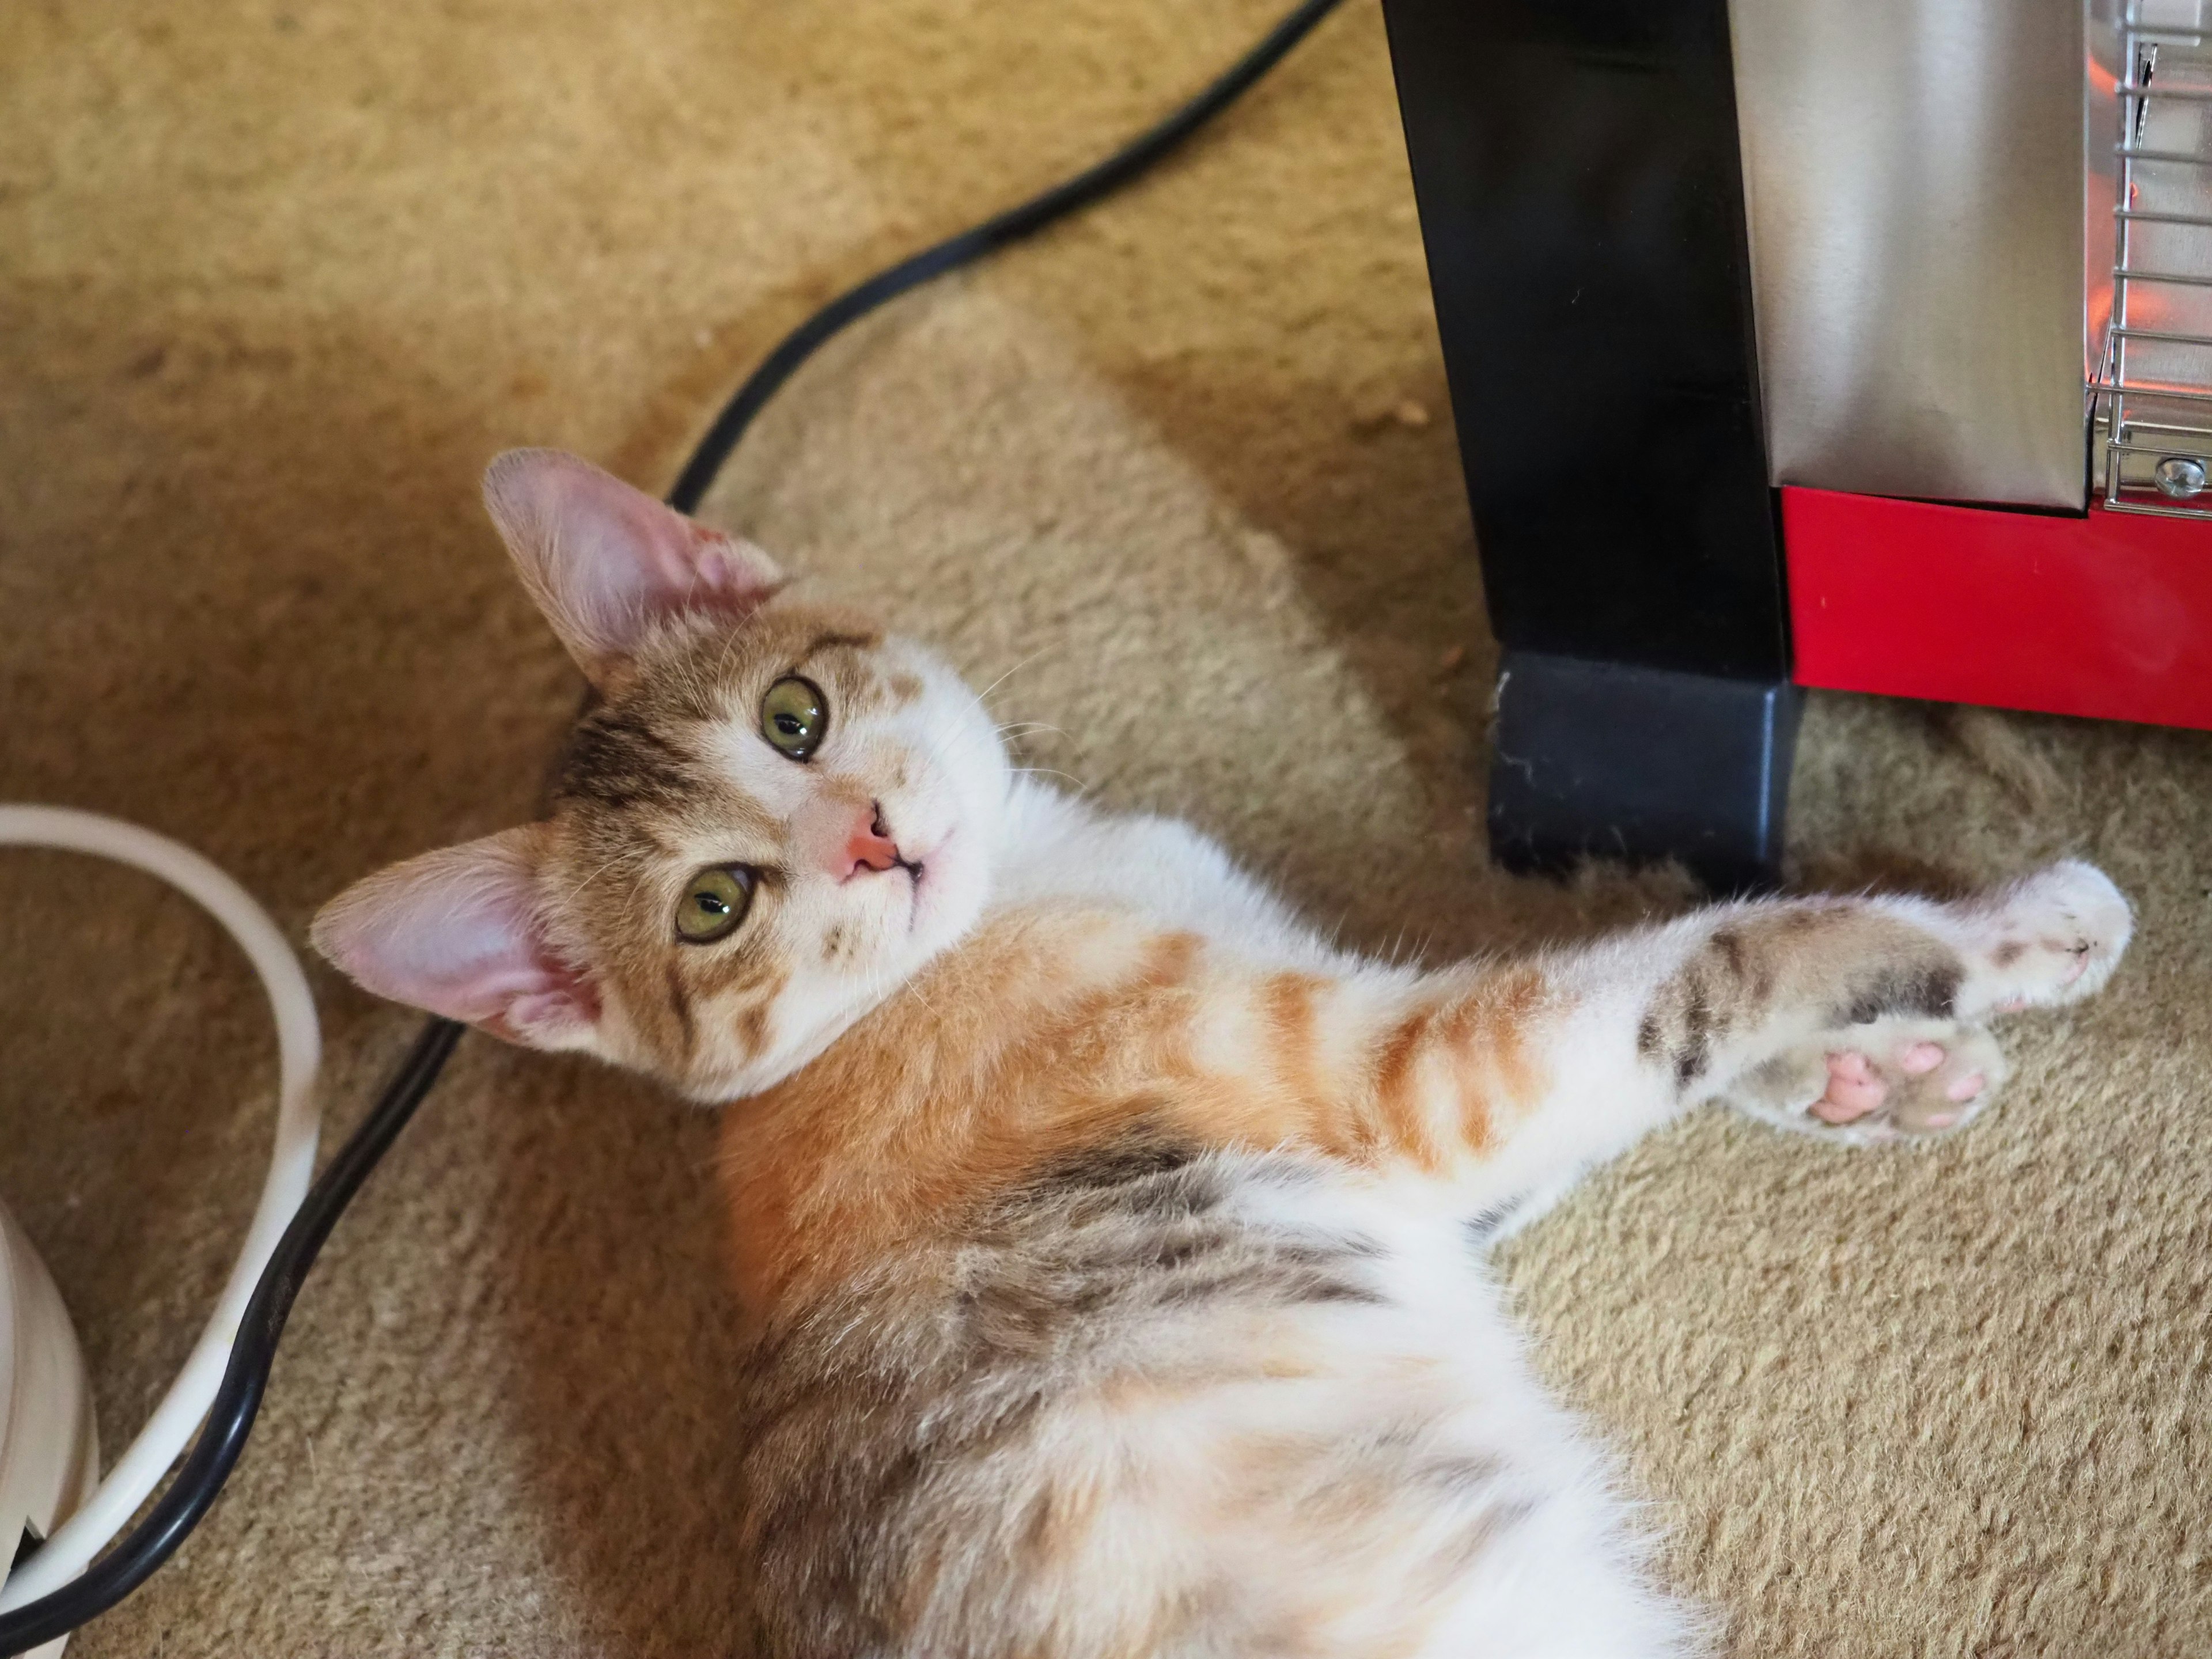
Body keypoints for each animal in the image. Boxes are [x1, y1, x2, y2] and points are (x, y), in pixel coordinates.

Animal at [312, 449, 2123, 1654]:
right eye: (711, 906)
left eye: (794, 719)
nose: (872, 844)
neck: (1020, 892)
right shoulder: (1406, 1079)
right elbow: (1697, 958)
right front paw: (2003, 935)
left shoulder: (1421, 1138)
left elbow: (1640, 1031)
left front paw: (1870, 1072)